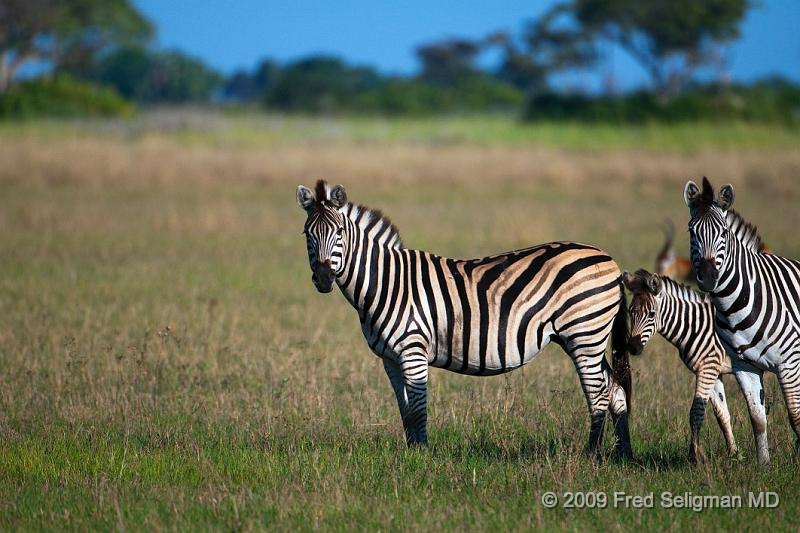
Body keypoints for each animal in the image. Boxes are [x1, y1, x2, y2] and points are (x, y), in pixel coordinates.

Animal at [296, 181, 636, 460]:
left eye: (340, 233)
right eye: (307, 235)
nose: (324, 279)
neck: (387, 284)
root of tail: (608, 259)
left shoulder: (413, 350)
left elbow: (418, 408)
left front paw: (421, 457)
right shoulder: (389, 358)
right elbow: (404, 409)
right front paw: (411, 453)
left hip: (585, 335)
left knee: (598, 394)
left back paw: (591, 455)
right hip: (584, 337)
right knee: (616, 390)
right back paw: (623, 456)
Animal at [620, 270, 740, 462]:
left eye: (651, 314)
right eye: (631, 312)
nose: (633, 347)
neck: (696, 326)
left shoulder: (707, 368)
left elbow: (696, 413)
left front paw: (693, 457)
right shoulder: (714, 371)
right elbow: (722, 414)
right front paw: (733, 453)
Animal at [680, 177, 800, 464]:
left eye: (723, 233)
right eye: (691, 232)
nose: (708, 278)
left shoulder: (789, 364)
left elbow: (795, 417)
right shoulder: (744, 366)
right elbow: (757, 419)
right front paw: (764, 466)